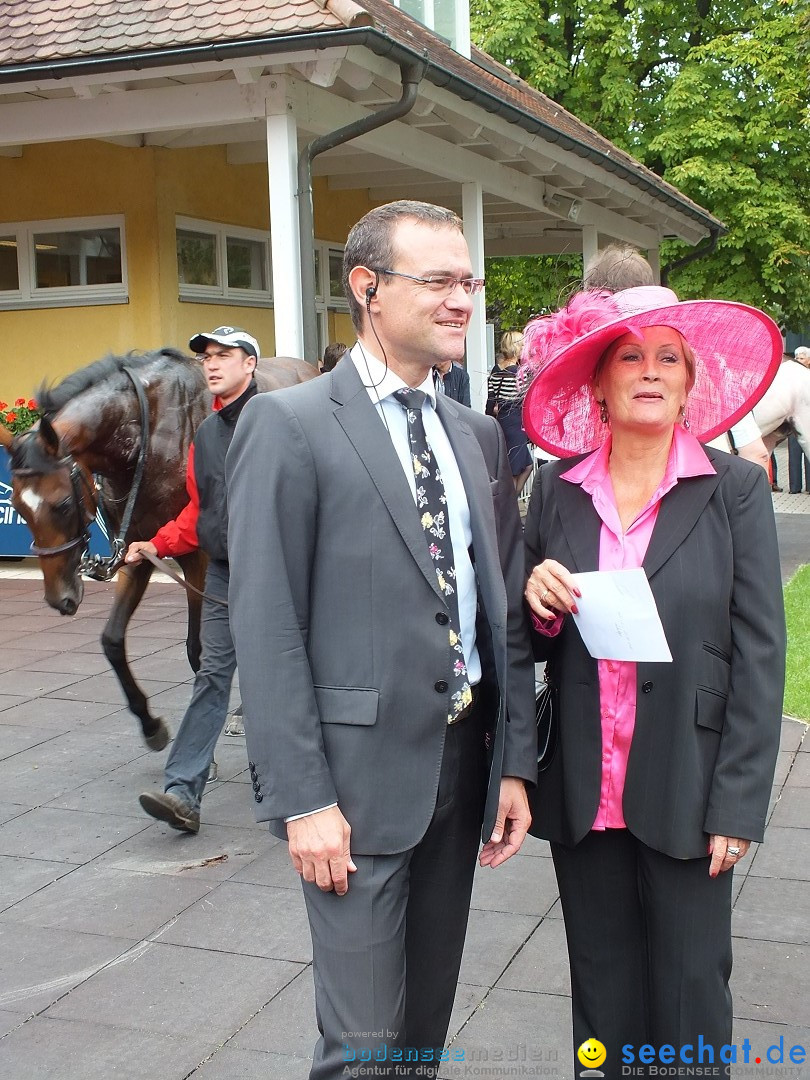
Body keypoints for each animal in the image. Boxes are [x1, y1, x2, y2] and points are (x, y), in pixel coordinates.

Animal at [0, 347, 317, 751]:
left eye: (63, 505)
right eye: (19, 508)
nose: (61, 599)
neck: (147, 439)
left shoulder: (198, 557)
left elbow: (198, 648)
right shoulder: (136, 549)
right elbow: (112, 640)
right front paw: (151, 726)